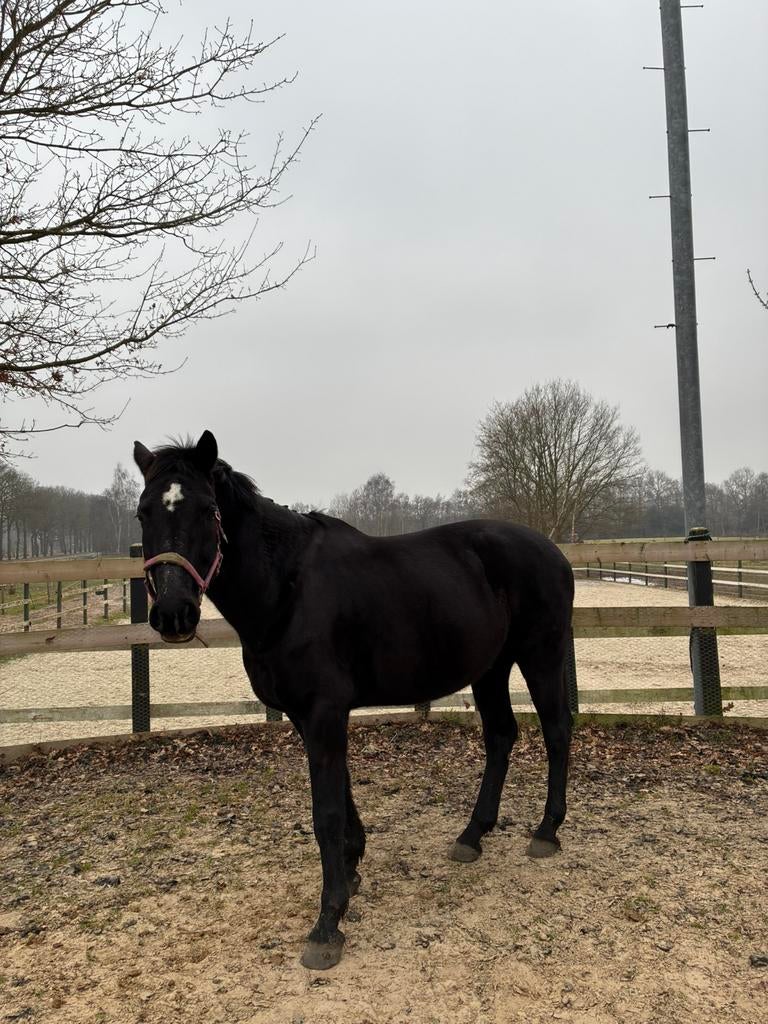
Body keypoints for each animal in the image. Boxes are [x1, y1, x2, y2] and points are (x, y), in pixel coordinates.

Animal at [133, 430, 575, 970]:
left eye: (207, 510)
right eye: (144, 512)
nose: (174, 613)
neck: (288, 589)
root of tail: (553, 552)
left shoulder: (324, 713)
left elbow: (325, 813)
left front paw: (328, 923)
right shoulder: (308, 717)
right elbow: (342, 796)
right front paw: (353, 866)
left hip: (541, 656)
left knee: (556, 731)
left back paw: (546, 831)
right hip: (491, 668)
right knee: (501, 736)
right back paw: (473, 835)